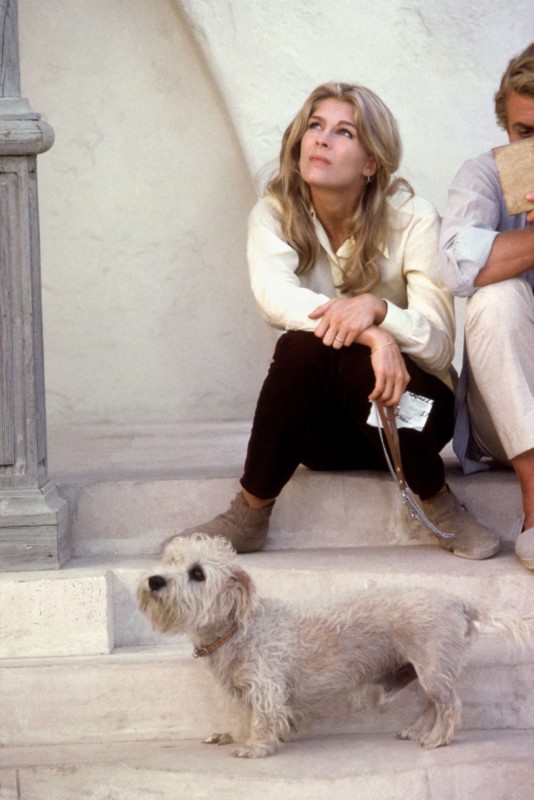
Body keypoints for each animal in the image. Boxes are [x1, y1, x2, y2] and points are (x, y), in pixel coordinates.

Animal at [137, 533, 533, 758]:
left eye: (198, 574)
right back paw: (419, 731)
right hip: (428, 672)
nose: (154, 580)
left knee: (450, 707)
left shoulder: (265, 688)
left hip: (433, 669)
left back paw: (436, 740)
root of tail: (458, 602)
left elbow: (262, 718)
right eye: (170, 561)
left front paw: (256, 747)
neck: (238, 629)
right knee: (433, 705)